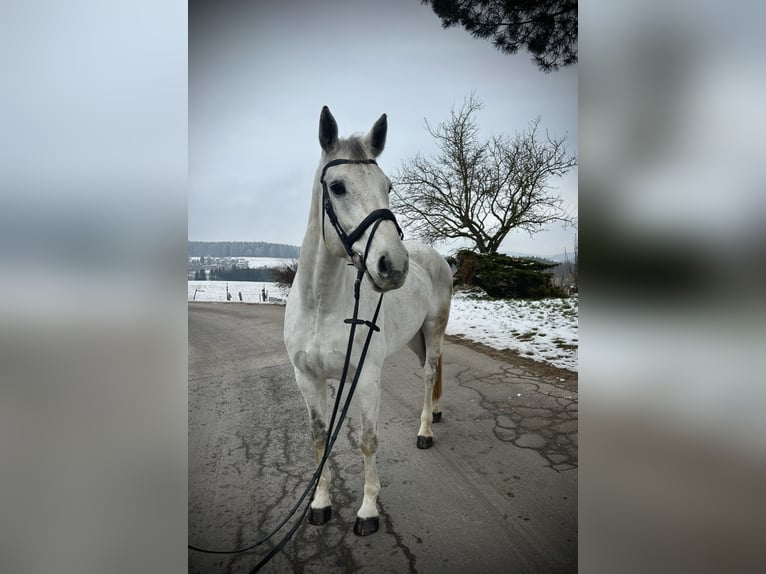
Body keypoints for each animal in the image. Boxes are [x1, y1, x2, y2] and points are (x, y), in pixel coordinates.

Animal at [288, 106, 456, 536]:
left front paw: (367, 511)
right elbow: (319, 438)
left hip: (433, 330)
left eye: (388, 186)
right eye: (337, 186)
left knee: (429, 373)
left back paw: (425, 429)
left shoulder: (364, 377)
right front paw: (320, 503)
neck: (321, 306)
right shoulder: (308, 379)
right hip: (414, 338)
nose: (393, 265)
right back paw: (436, 412)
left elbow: (366, 440)